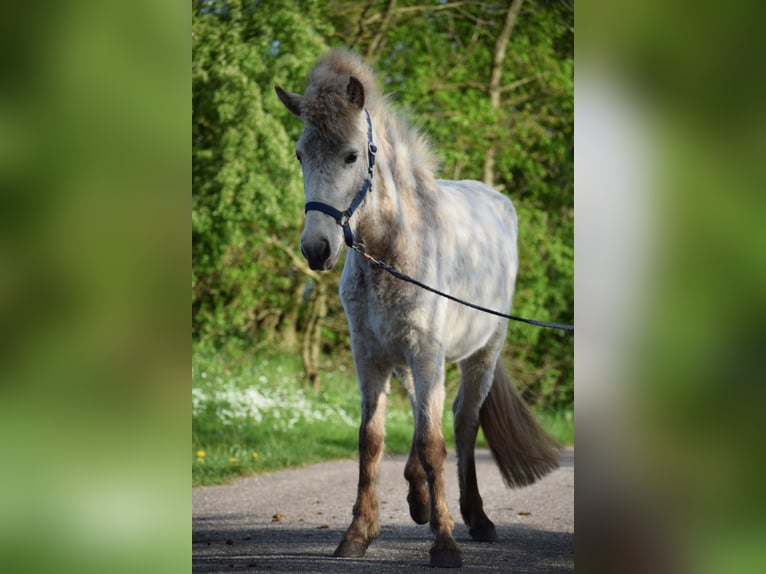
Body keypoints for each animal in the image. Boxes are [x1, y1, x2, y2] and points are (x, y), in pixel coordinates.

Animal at [275, 49, 560, 569]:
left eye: (351, 155)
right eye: (301, 154)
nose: (316, 249)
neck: (390, 251)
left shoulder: (427, 353)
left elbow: (434, 443)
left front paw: (444, 543)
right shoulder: (370, 356)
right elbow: (371, 441)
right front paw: (358, 533)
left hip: (480, 354)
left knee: (462, 424)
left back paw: (477, 519)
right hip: (412, 360)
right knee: (421, 412)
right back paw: (418, 498)